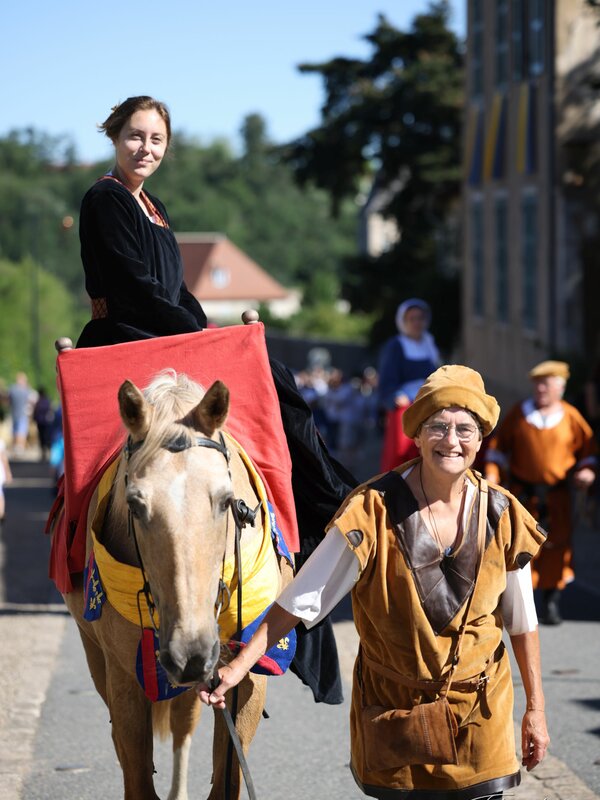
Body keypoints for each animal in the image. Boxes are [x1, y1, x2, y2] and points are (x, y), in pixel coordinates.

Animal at [62, 372, 292, 796]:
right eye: (136, 505)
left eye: (226, 501)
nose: (191, 653)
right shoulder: (125, 676)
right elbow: (136, 774)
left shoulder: (244, 672)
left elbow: (227, 776)